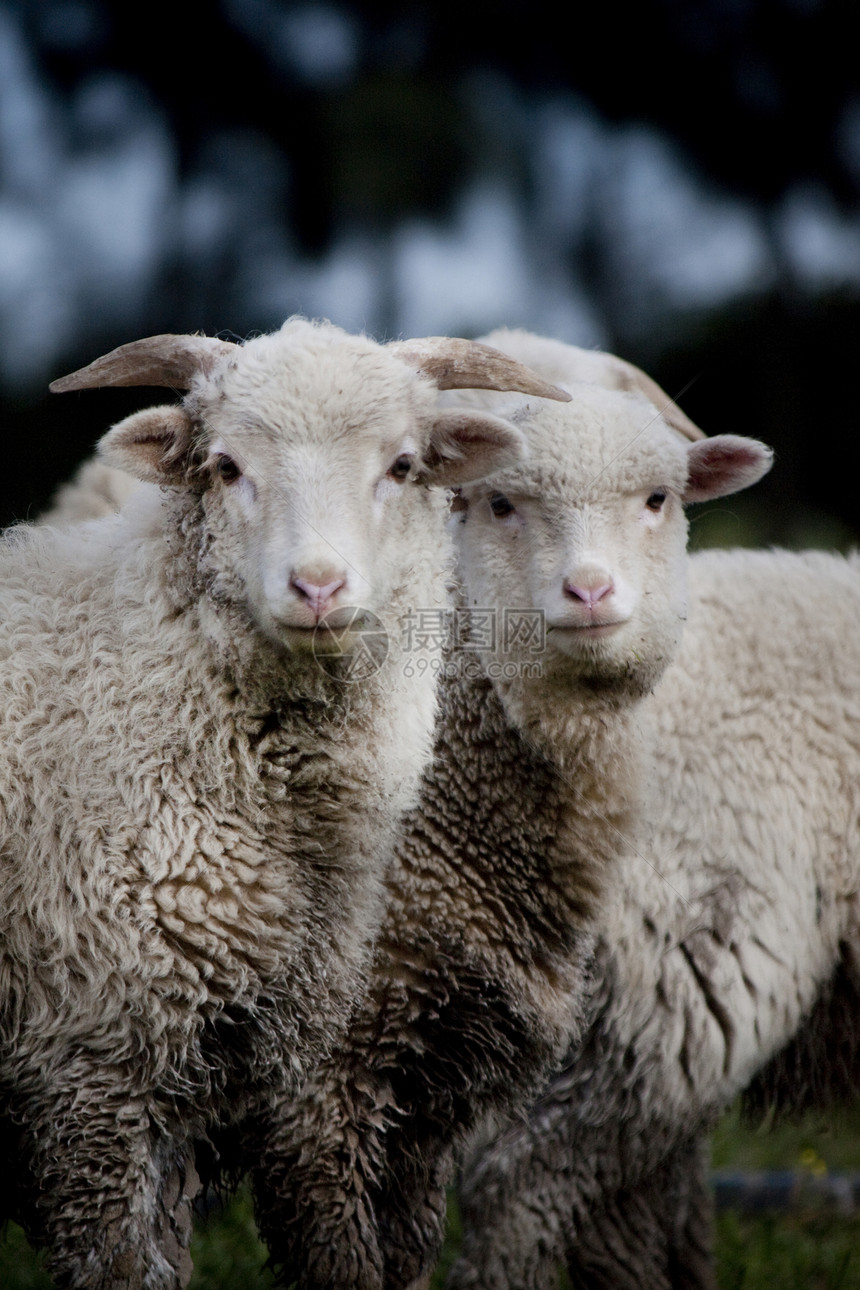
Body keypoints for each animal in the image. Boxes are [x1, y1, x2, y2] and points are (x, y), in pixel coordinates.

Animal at [247, 335, 773, 1290]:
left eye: (659, 498)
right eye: (499, 502)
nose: (590, 593)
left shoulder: (435, 1083)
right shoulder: (319, 1087)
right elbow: (344, 1257)